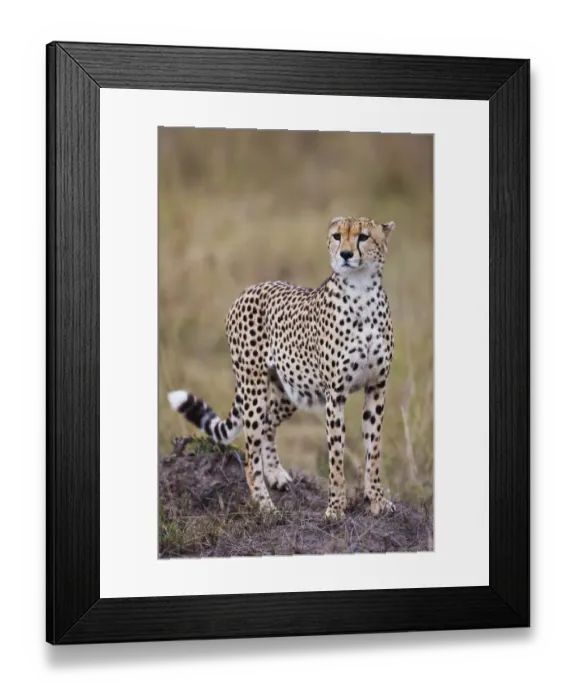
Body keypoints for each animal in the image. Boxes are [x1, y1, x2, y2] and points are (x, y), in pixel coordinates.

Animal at [168, 216, 397, 521]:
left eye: (363, 237)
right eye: (338, 236)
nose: (346, 254)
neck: (362, 292)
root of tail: (250, 289)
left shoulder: (377, 387)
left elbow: (374, 449)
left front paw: (377, 500)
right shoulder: (335, 394)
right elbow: (336, 456)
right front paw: (336, 508)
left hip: (293, 390)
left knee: (268, 424)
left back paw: (275, 474)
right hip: (254, 387)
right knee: (250, 453)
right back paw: (265, 505)